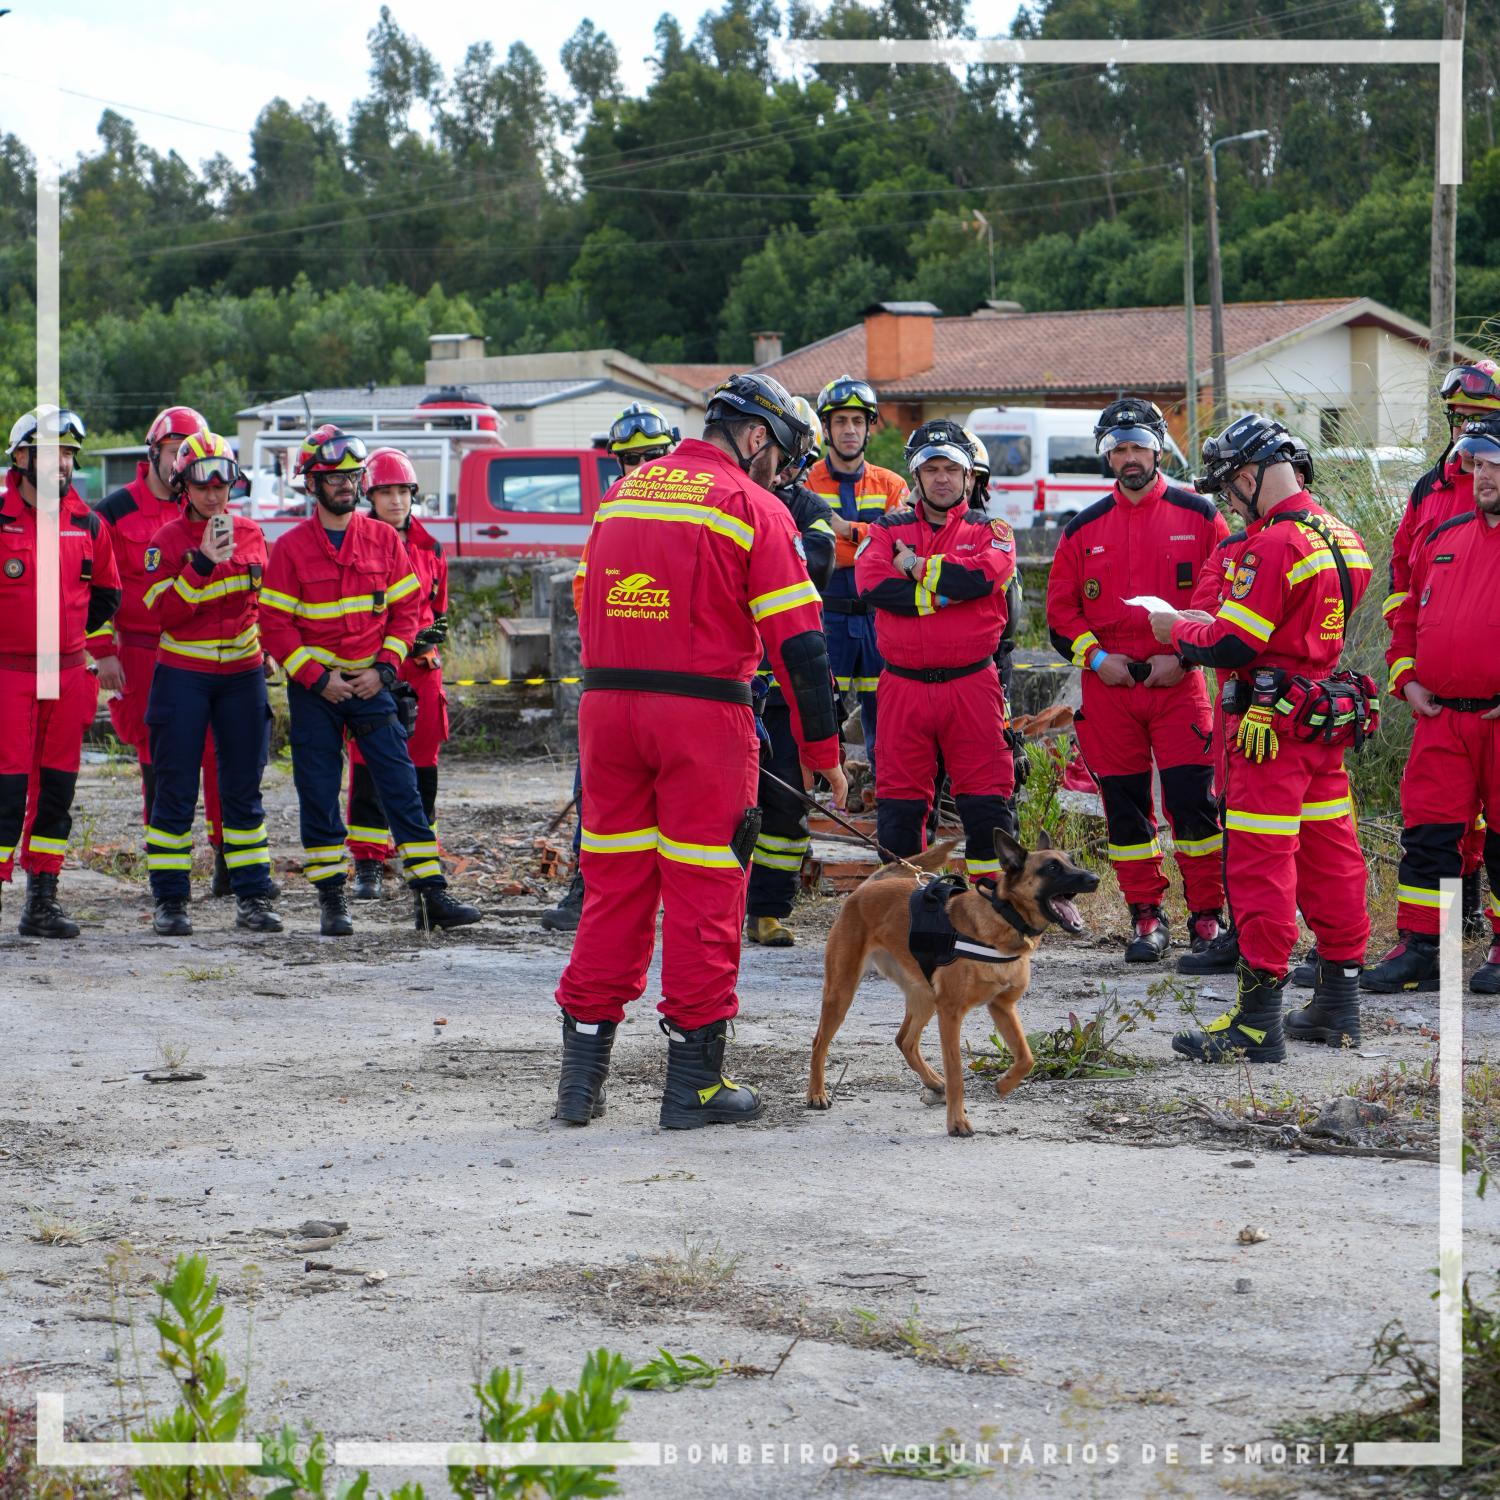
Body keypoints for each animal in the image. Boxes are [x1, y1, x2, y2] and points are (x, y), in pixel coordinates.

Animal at [807, 827, 1099, 1137]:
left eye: (1072, 861)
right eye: (1052, 868)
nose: (1095, 878)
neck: (1003, 918)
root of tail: (865, 888)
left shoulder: (1002, 1007)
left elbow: (1026, 1057)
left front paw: (1004, 1084)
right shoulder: (951, 1013)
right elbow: (957, 1071)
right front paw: (957, 1122)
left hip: (925, 997)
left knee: (905, 1041)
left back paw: (935, 1083)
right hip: (842, 991)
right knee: (819, 1042)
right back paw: (816, 1094)